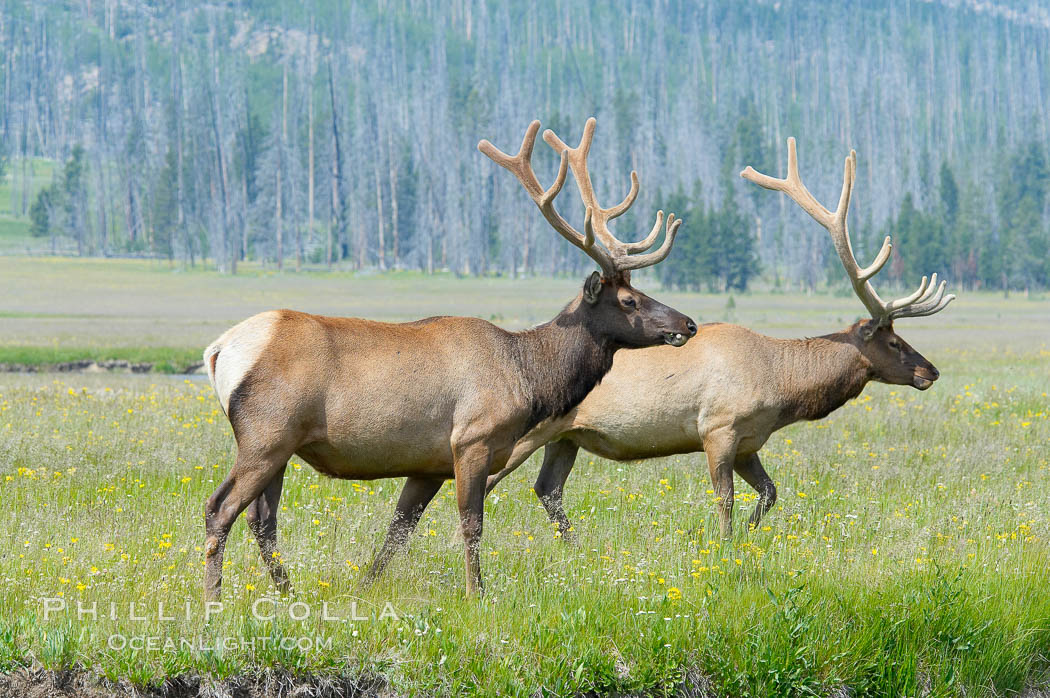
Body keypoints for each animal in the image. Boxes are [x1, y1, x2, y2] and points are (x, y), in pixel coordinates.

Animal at [203, 117, 697, 596]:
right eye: (629, 301)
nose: (688, 324)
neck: (529, 375)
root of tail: (218, 349)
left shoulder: (429, 463)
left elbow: (398, 531)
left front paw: (364, 586)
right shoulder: (472, 439)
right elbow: (471, 525)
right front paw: (477, 593)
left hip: (282, 445)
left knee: (262, 518)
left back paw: (288, 592)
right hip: (267, 434)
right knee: (219, 508)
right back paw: (216, 598)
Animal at [487, 138, 957, 535]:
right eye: (893, 342)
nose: (931, 371)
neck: (781, 387)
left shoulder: (750, 442)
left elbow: (770, 492)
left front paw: (750, 535)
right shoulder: (718, 428)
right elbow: (725, 500)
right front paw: (727, 544)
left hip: (565, 437)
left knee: (547, 489)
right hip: (525, 434)